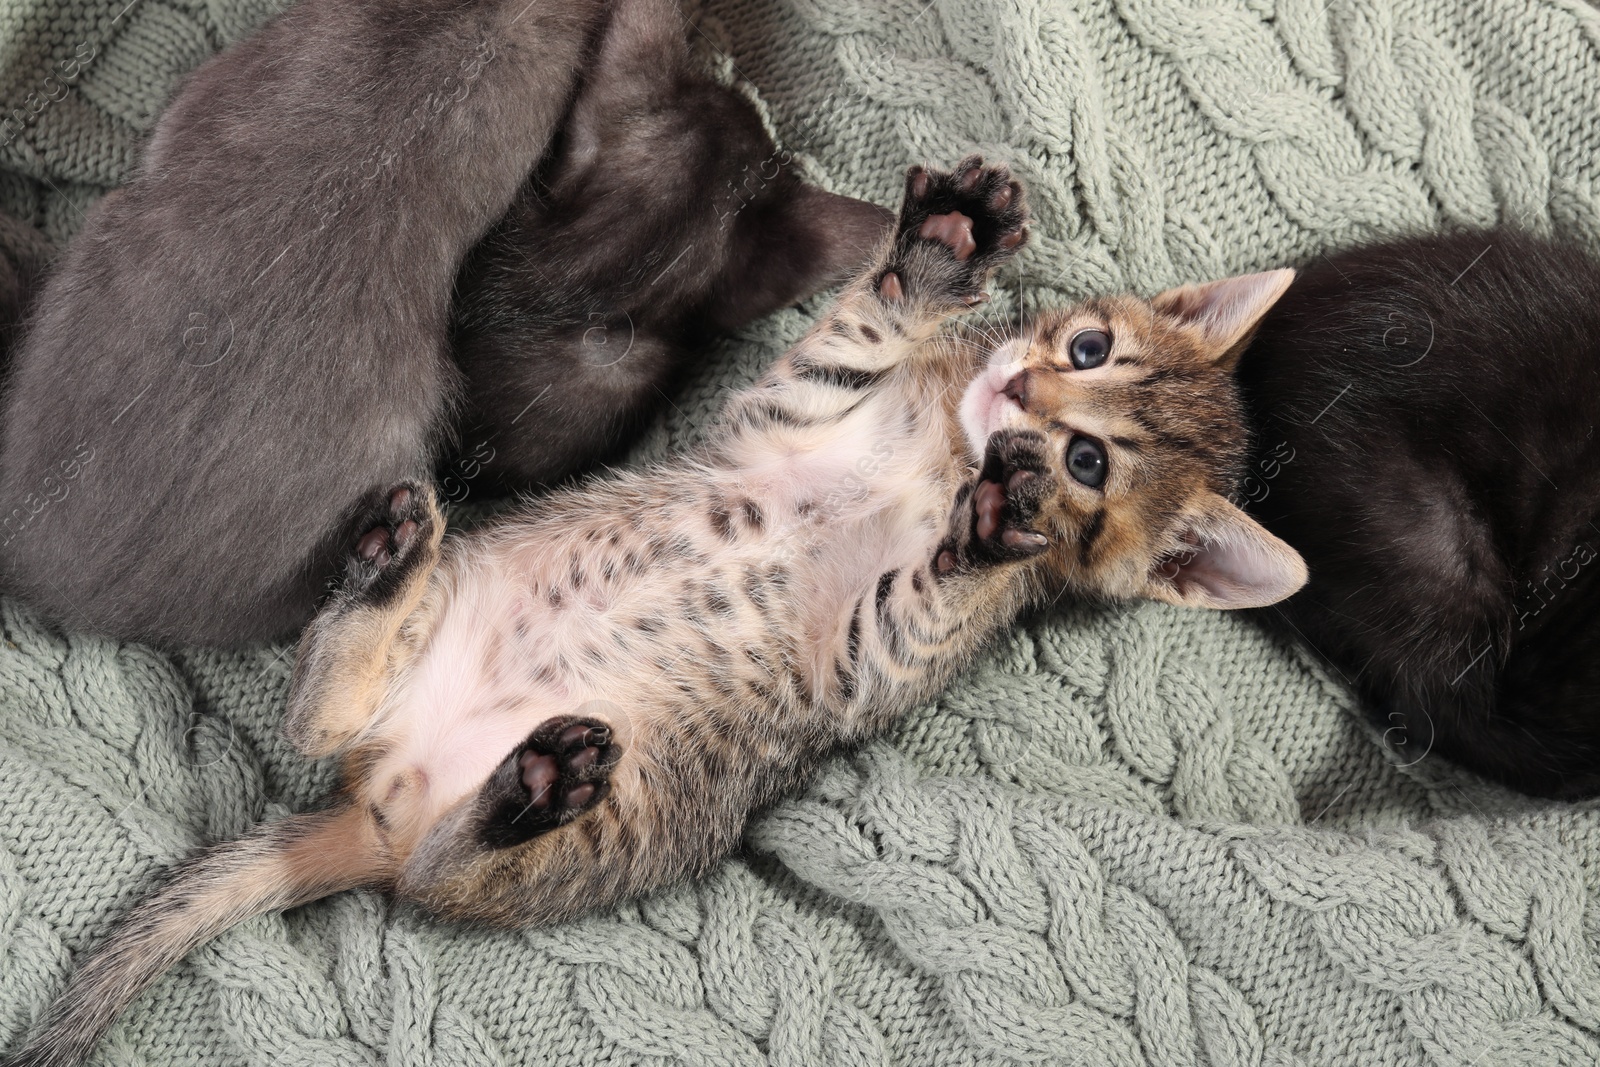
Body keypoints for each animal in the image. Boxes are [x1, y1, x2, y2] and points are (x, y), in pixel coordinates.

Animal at [6, 163, 1305, 1067]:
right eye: (1085, 344)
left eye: (1088, 461)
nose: (1021, 393)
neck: (934, 451)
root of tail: (387, 797)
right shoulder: (783, 411)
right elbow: (856, 328)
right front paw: (941, 249)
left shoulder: (877, 654)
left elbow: (927, 594)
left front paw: (985, 530)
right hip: (457, 602)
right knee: (321, 717)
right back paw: (386, 572)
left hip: (609, 821)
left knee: (434, 864)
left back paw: (528, 787)